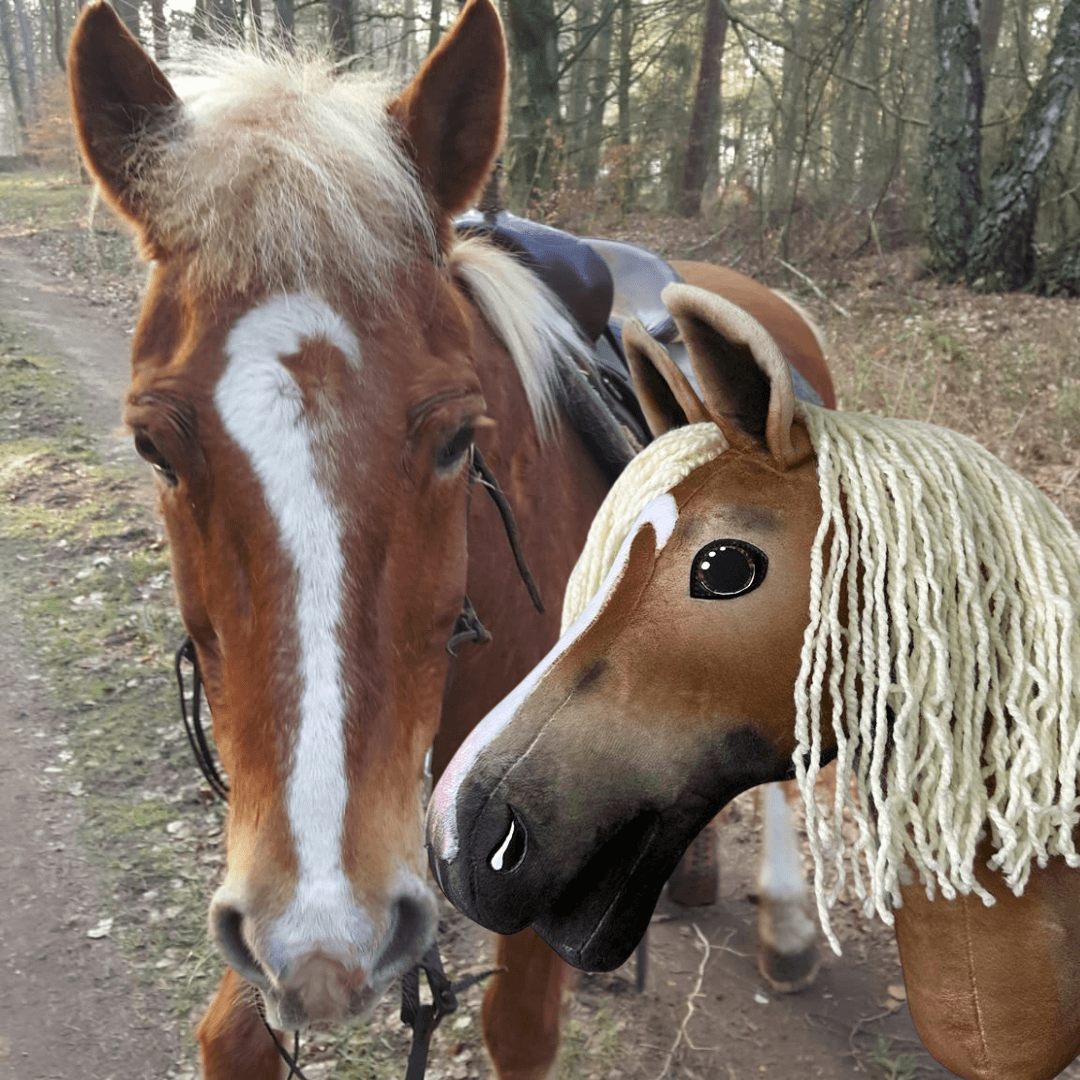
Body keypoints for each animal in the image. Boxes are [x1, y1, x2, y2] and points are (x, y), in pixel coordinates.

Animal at [67, 2, 834, 1076]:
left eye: (458, 438)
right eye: (153, 446)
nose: (327, 936)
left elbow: (519, 1025)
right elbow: (233, 1032)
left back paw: (789, 926)